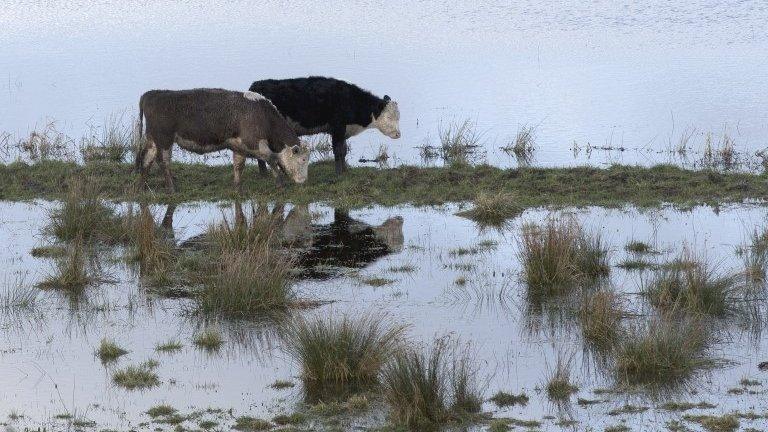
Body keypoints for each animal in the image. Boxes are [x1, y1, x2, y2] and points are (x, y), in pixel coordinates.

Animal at [249, 77, 402, 175]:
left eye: (399, 117)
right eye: (389, 117)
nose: (398, 134)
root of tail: (255, 86)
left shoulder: (343, 131)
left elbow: (344, 150)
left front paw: (345, 171)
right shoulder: (337, 128)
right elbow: (338, 151)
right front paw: (339, 173)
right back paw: (264, 174)